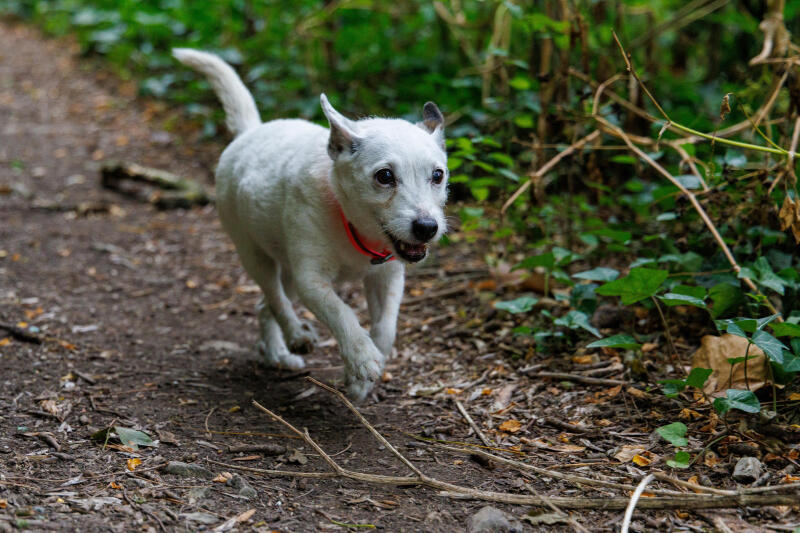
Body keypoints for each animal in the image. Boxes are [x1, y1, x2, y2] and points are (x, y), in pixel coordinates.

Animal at [174, 50, 446, 400]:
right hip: (254, 254)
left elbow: (386, 329)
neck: (350, 221)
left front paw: (361, 377)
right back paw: (295, 336)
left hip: (288, 267)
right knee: (274, 297)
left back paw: (278, 353)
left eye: (438, 175)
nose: (427, 227)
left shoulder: (387, 277)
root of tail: (251, 131)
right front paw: (361, 358)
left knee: (265, 305)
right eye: (384, 176)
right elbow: (342, 313)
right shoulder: (312, 280)